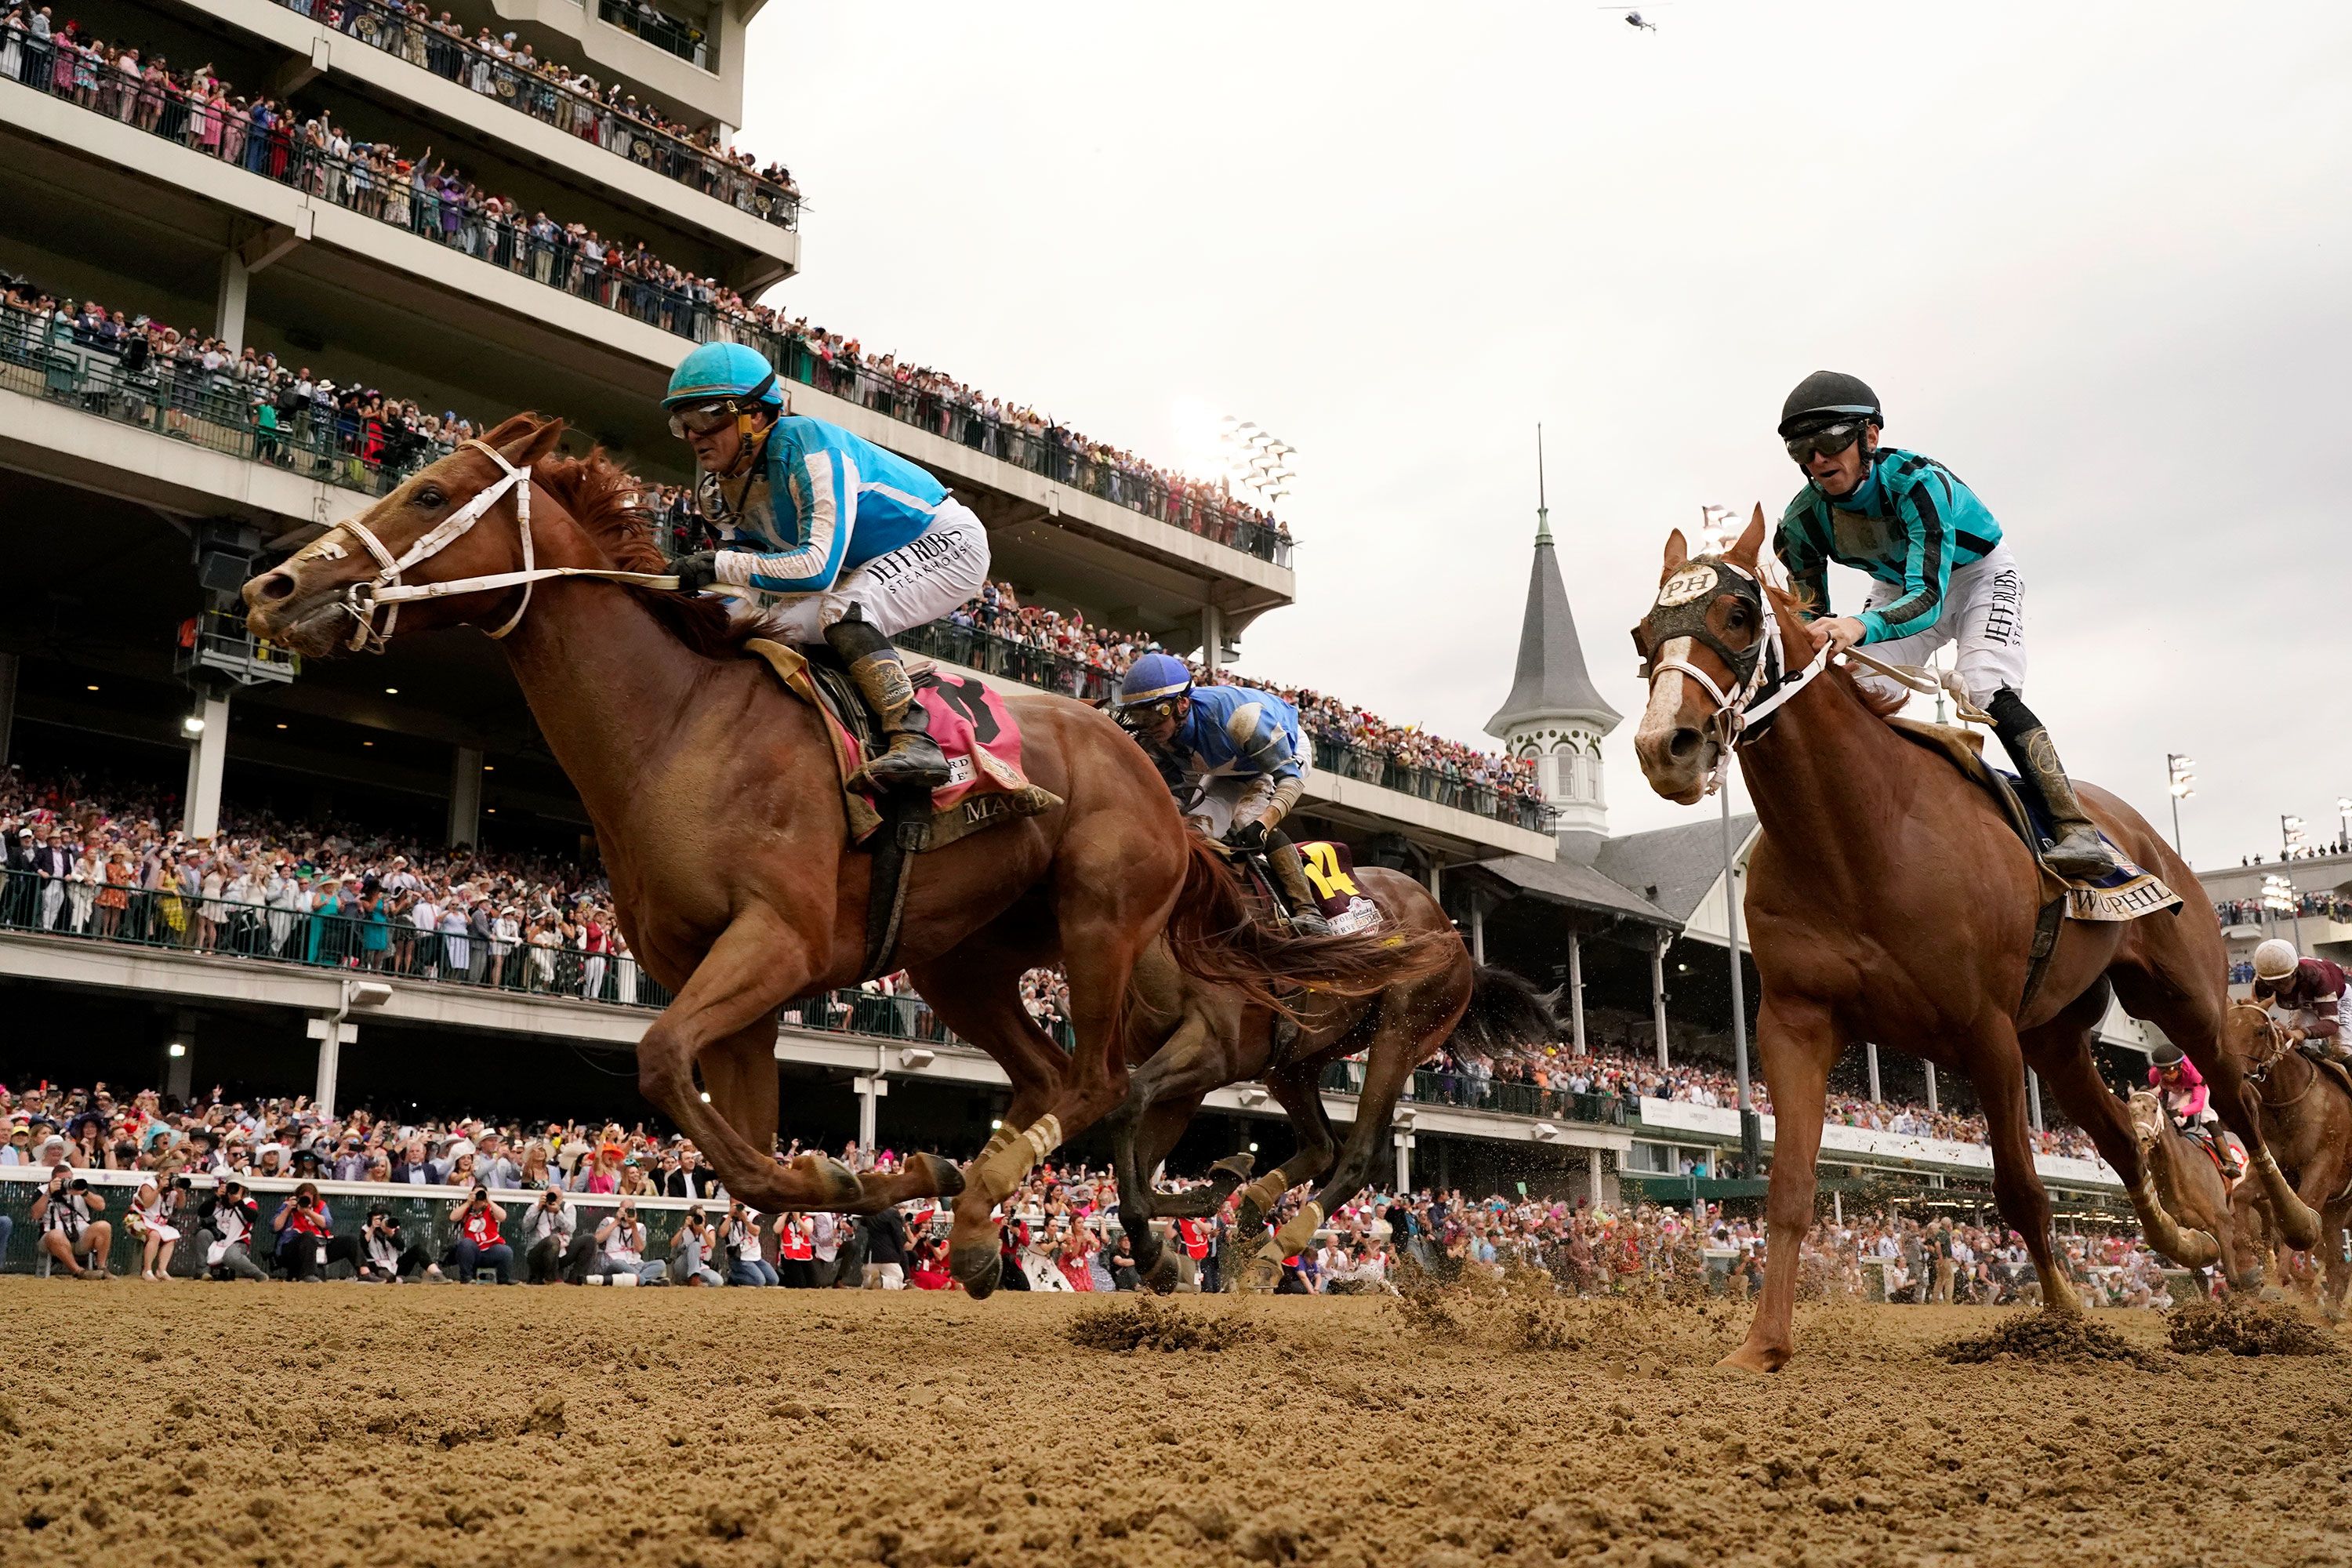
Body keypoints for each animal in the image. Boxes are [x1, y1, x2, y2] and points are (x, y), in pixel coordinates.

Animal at [238, 416, 1421, 1288]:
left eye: (431, 494)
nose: (270, 588)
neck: (677, 725)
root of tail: (1160, 786)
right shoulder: (723, 981)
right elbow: (749, 1162)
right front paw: (868, 1185)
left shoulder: (778, 943)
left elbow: (659, 1061)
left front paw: (885, 1182)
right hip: (961, 960)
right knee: (1053, 1080)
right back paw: (990, 1217)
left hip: (1100, 920)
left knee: (1100, 1080)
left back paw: (1031, 1212)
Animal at [1628, 510, 2324, 1363]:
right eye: (1641, 635)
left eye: (1737, 614)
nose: (1667, 746)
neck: (1858, 834)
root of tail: (2146, 837)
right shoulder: (1795, 1020)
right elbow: (1788, 1185)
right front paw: (1762, 1345)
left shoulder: (1984, 1029)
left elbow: (2021, 1189)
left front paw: (2062, 1318)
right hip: (2055, 1040)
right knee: (2123, 1137)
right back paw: (2188, 1241)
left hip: (2184, 996)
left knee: (2235, 1098)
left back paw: (2294, 1221)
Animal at [2220, 1001, 2352, 1316]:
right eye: (2224, 1028)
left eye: (2259, 1030)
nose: (2234, 1080)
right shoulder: (2279, 1169)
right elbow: (2242, 1195)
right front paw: (2248, 1269)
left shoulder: (2321, 1170)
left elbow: (2297, 1223)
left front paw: (2278, 1283)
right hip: (2337, 1212)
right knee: (2339, 1267)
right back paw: (2330, 1311)